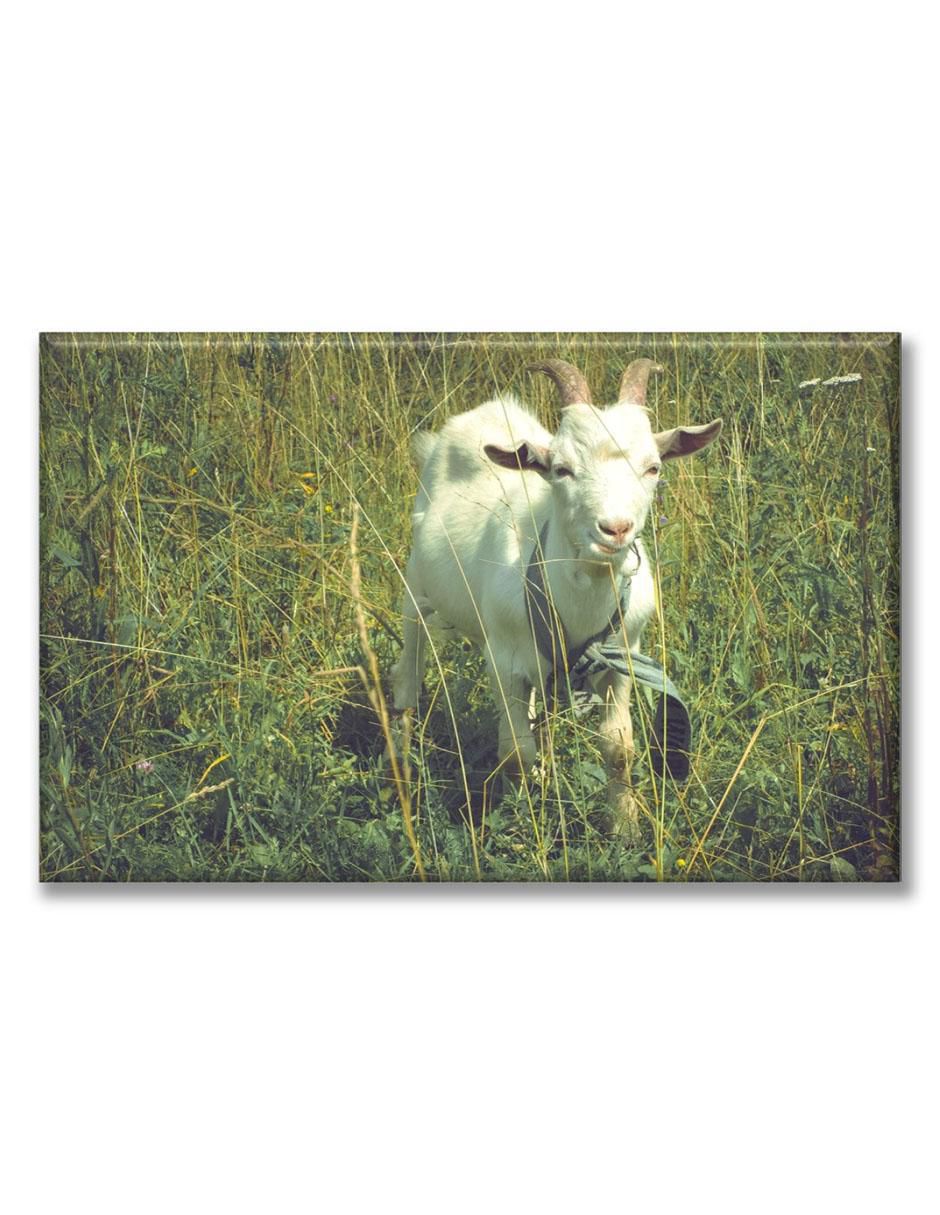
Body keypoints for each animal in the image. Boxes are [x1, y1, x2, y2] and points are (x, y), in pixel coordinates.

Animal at [391, 358, 721, 840]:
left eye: (653, 467)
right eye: (562, 469)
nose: (615, 529)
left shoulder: (621, 657)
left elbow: (618, 747)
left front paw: (625, 826)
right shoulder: (503, 661)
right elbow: (515, 751)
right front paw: (521, 818)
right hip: (417, 586)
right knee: (410, 669)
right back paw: (398, 757)